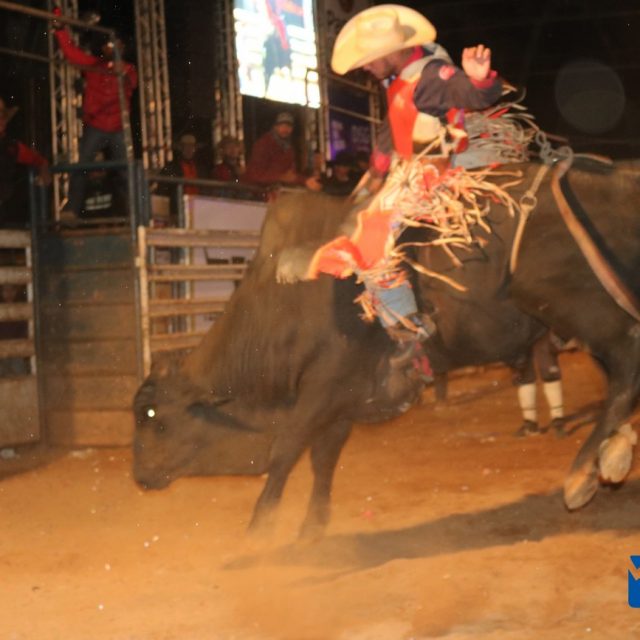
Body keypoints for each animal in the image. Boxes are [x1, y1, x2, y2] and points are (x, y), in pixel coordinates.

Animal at [133, 159, 640, 537]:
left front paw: (260, 529)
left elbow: (286, 450)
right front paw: (312, 527)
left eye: (155, 417)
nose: (139, 476)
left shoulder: (321, 389)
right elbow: (322, 459)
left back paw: (583, 473)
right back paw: (611, 450)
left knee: (626, 367)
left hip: (570, 303)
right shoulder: (340, 402)